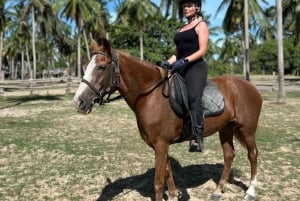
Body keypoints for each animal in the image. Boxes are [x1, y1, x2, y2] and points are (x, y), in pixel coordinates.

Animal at [72, 38, 262, 200]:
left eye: (101, 67)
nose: (78, 102)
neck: (151, 96)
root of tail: (250, 86)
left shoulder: (161, 144)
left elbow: (158, 183)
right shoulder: (161, 145)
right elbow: (168, 172)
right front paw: (172, 196)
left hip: (247, 129)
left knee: (252, 154)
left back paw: (251, 192)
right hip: (226, 129)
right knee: (229, 155)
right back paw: (217, 191)